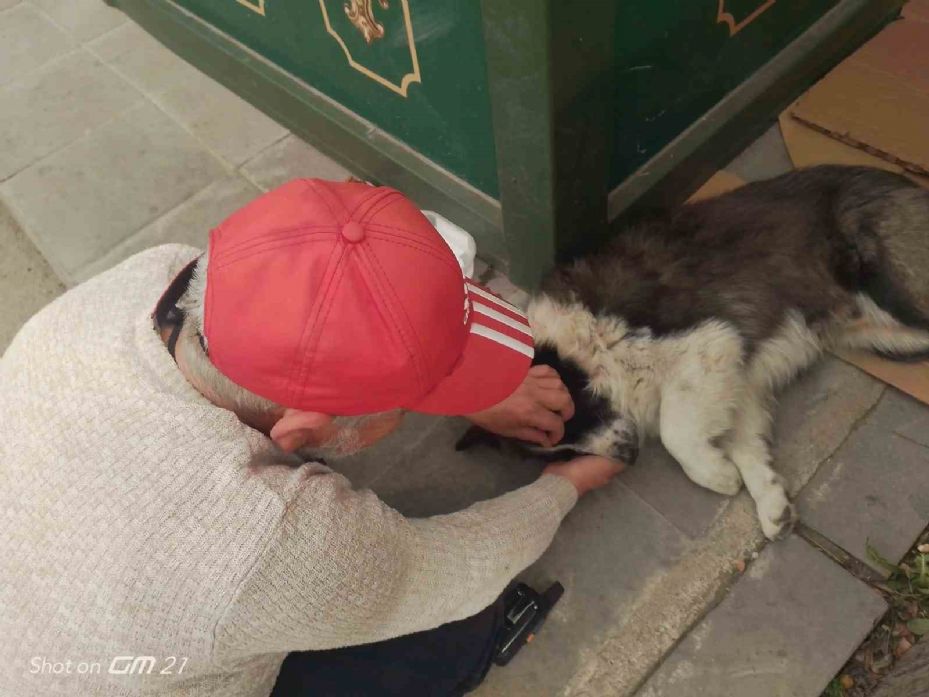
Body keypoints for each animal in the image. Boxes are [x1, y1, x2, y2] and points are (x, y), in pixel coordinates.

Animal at [460, 164, 928, 540]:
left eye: (566, 416)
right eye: (562, 451)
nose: (627, 457)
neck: (585, 350)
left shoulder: (709, 342)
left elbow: (676, 432)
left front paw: (717, 475)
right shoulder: (741, 377)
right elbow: (745, 443)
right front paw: (769, 502)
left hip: (890, 286)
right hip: (889, 338)